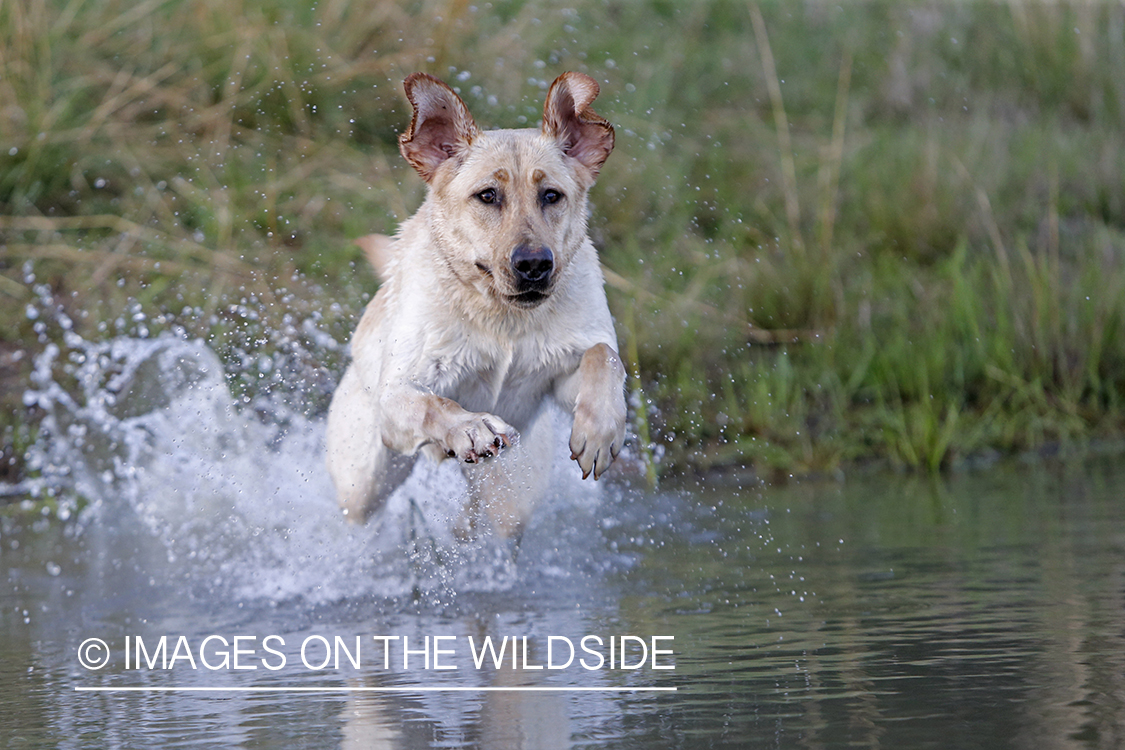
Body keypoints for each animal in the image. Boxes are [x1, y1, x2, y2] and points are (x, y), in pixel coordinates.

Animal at [326, 71, 630, 539]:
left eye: (551, 195)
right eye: (487, 196)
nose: (534, 265)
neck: (503, 317)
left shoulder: (563, 374)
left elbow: (604, 356)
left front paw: (600, 433)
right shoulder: (397, 395)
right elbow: (434, 404)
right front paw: (471, 427)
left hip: (510, 497)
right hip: (362, 479)